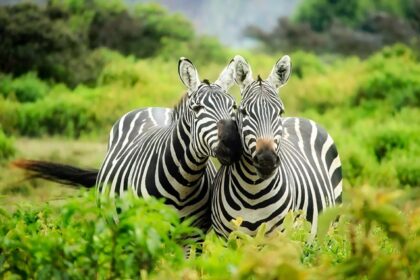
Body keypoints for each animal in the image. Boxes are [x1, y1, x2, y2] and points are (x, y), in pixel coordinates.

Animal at [14, 57, 241, 232]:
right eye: (197, 108)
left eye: (234, 106)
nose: (232, 144)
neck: (184, 182)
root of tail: (151, 107)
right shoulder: (147, 229)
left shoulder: (194, 236)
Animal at [212, 54, 342, 238]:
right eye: (243, 112)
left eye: (280, 112)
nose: (267, 160)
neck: (253, 192)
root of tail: (300, 118)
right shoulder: (225, 238)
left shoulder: (279, 237)